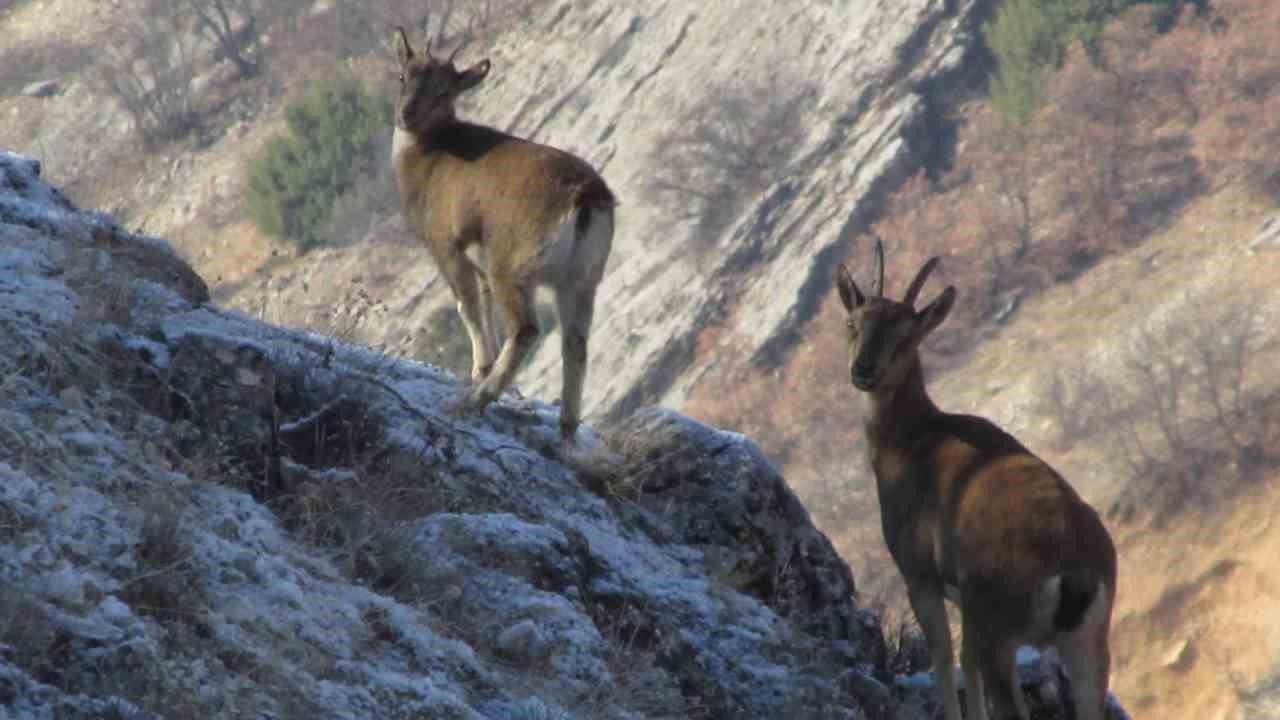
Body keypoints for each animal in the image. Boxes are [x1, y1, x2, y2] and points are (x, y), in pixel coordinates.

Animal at [389, 28, 614, 440]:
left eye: (444, 91)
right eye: (402, 76)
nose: (406, 115)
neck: (429, 158)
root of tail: (587, 196)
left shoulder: (447, 247)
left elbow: (468, 307)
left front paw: (478, 372)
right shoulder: (480, 262)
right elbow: (486, 304)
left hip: (514, 267)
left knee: (526, 329)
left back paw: (473, 401)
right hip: (580, 279)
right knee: (575, 343)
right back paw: (566, 431)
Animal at [834, 239, 1116, 717]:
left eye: (906, 335)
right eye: (853, 323)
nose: (864, 369)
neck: (911, 441)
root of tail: (1076, 572)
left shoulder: (919, 574)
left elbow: (945, 660)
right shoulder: (964, 605)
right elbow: (965, 665)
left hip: (998, 629)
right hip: (1088, 643)